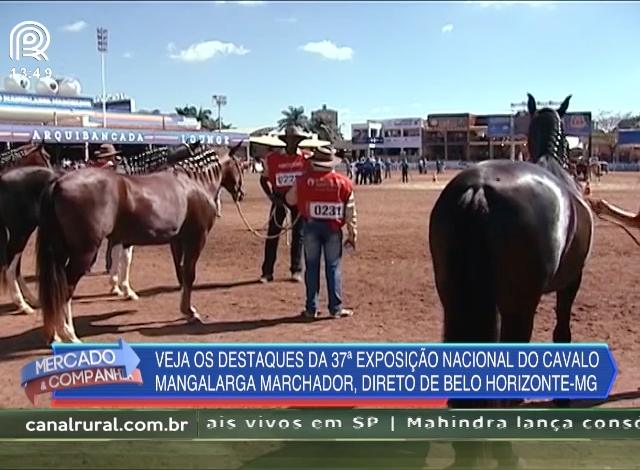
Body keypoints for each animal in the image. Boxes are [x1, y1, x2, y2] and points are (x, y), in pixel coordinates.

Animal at [36, 141, 245, 344]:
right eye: (239, 164)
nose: (240, 193)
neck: (192, 182)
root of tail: (58, 183)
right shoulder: (196, 239)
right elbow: (189, 274)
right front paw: (191, 313)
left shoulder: (176, 241)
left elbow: (181, 274)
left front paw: (185, 310)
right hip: (83, 253)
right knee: (66, 288)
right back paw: (68, 334)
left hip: (62, 250)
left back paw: (55, 334)